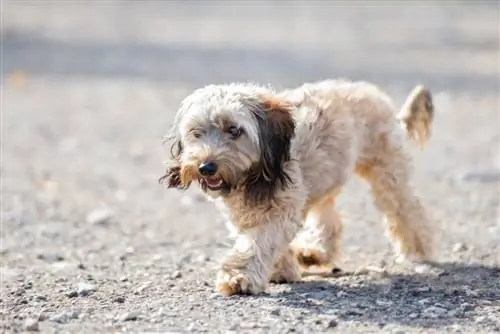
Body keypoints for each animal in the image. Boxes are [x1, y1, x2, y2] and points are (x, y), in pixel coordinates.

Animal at [160, 79, 434, 296]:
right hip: (325, 179)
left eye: (234, 130)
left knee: (406, 208)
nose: (206, 167)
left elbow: (258, 242)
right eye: (196, 133)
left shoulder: (281, 209)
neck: (253, 175)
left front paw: (239, 277)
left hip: (387, 171)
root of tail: (374, 94)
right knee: (330, 219)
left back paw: (419, 248)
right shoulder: (246, 214)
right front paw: (283, 269)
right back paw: (314, 253)